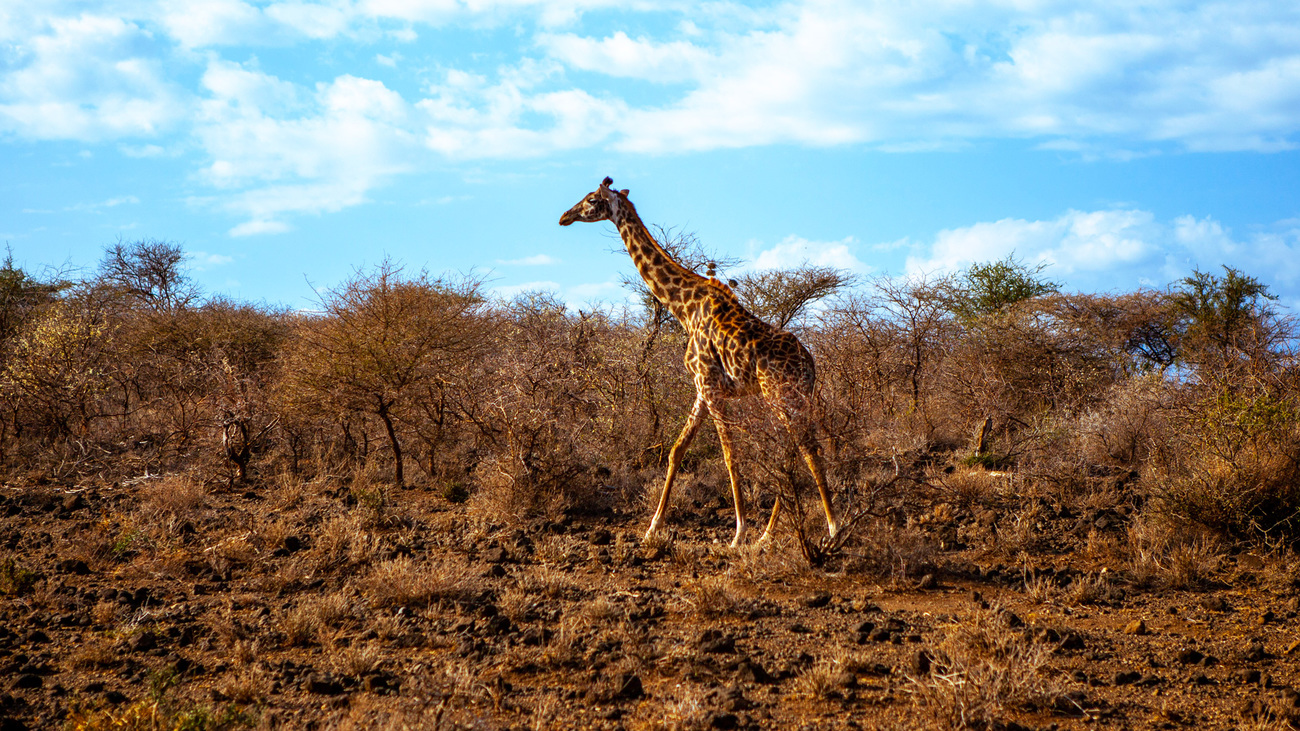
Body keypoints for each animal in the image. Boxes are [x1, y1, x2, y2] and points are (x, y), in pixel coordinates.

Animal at [556, 176, 837, 543]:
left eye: (591, 200)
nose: (564, 217)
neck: (685, 308)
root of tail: (810, 364)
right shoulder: (702, 390)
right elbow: (677, 450)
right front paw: (652, 529)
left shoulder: (711, 386)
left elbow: (730, 455)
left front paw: (738, 534)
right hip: (794, 397)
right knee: (792, 451)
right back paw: (769, 534)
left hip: (781, 394)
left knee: (807, 449)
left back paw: (832, 528)